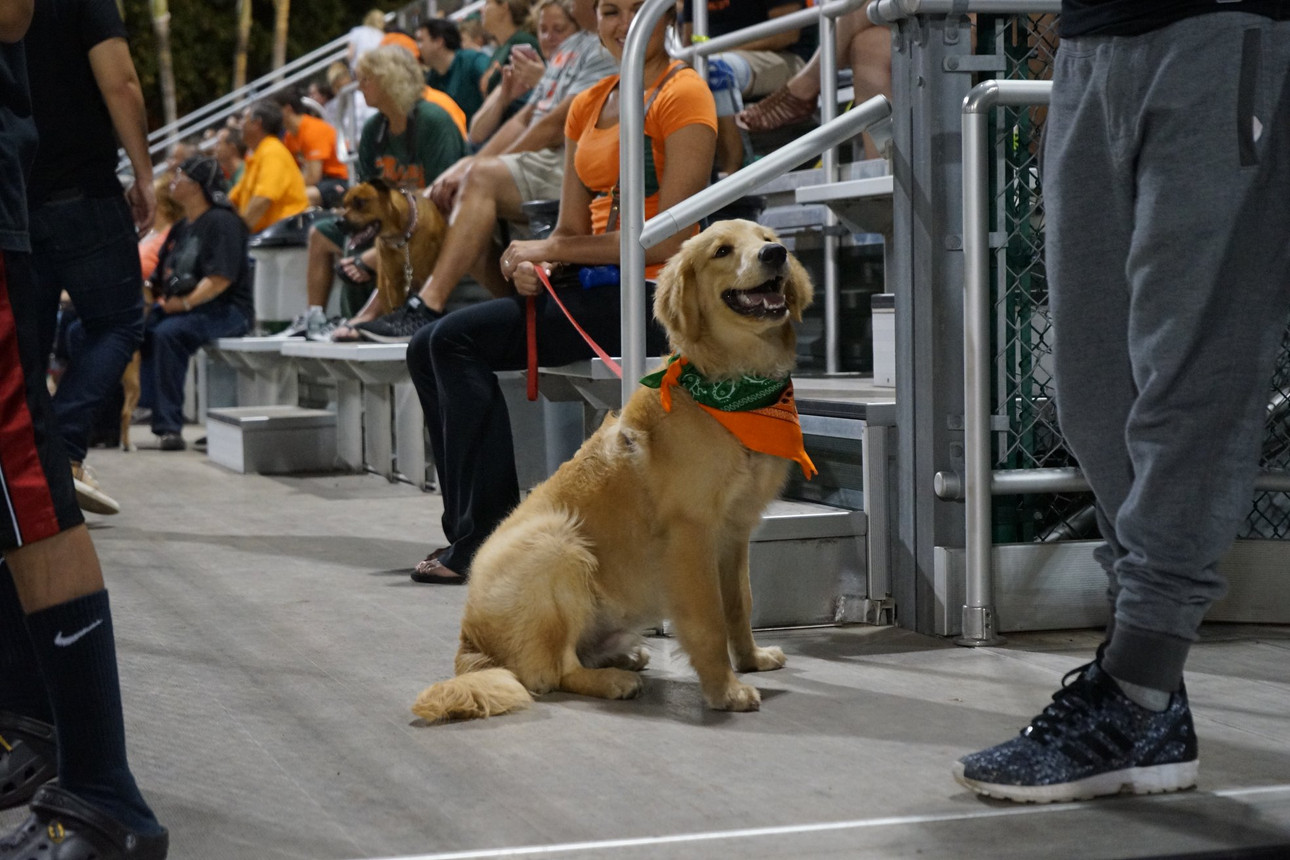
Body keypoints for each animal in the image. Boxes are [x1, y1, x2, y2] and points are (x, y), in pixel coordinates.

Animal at [340, 179, 446, 315]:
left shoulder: (425, 276)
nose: (338, 222)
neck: (403, 238)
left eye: (360, 202)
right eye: (343, 206)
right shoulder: (395, 285)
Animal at [410, 219, 815, 722]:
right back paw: (613, 680)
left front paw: (752, 659)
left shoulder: (736, 532)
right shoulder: (692, 534)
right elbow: (708, 620)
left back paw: (622, 655)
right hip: (558, 545)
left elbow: (740, 604)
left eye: (766, 239)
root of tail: (470, 646)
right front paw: (725, 689)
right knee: (553, 671)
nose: (776, 255)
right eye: (722, 250)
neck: (734, 390)